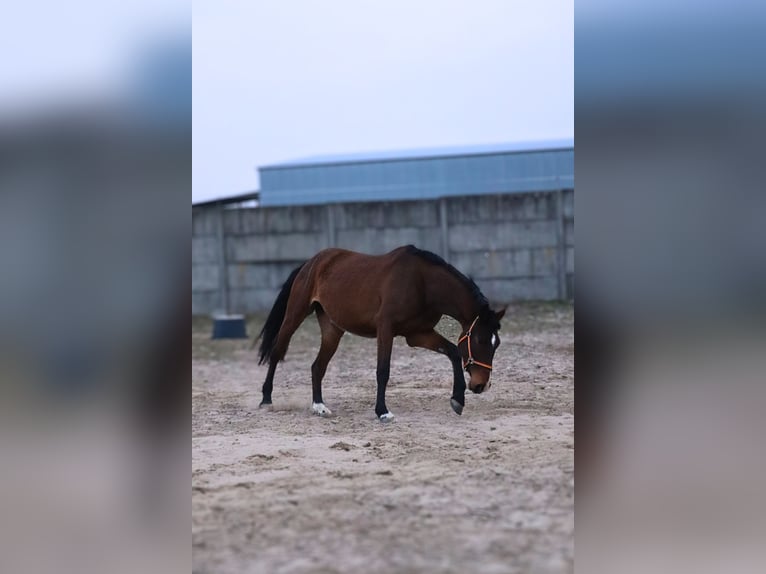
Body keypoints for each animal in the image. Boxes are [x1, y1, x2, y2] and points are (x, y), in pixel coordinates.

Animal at [258, 244, 508, 424]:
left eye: (496, 344)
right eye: (479, 340)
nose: (481, 385)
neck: (423, 284)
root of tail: (311, 262)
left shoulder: (417, 334)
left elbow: (454, 352)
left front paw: (457, 400)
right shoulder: (385, 329)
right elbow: (383, 371)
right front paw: (382, 412)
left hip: (332, 330)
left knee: (317, 367)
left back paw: (319, 406)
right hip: (295, 315)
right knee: (277, 352)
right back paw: (266, 399)